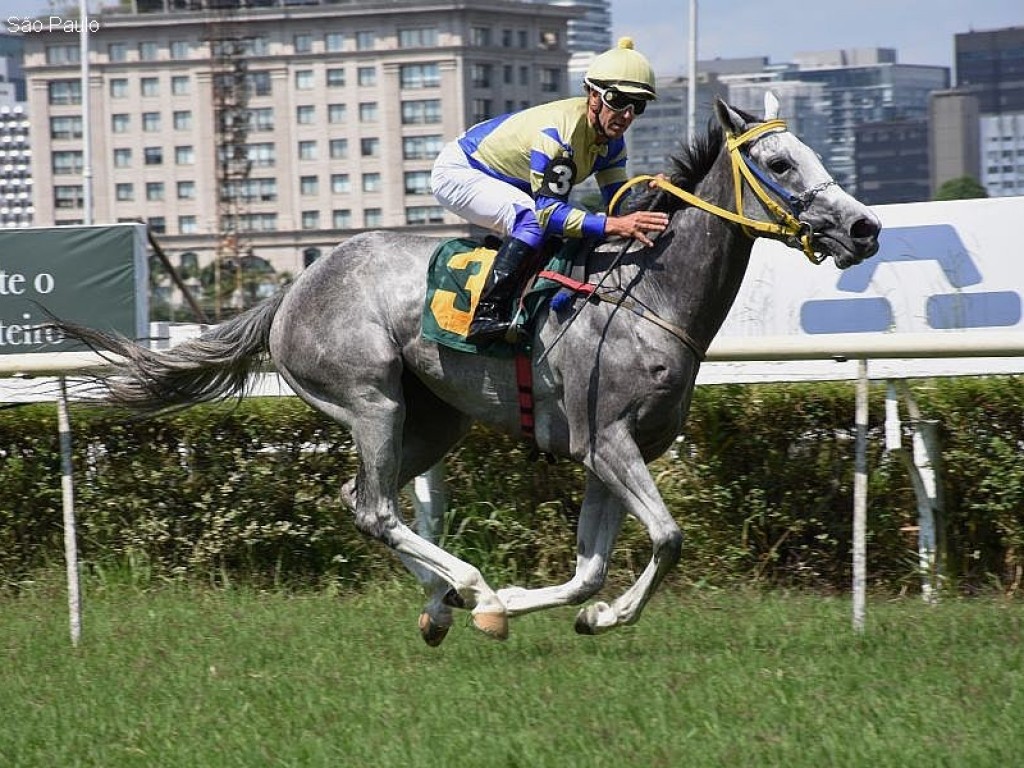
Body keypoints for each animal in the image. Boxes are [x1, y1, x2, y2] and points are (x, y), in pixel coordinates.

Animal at [58, 96, 880, 643]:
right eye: (779, 162)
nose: (865, 228)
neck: (644, 294)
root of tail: (292, 289)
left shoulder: (619, 451)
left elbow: (590, 568)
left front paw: (568, 610)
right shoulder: (606, 440)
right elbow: (671, 538)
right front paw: (559, 607)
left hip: (434, 421)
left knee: (361, 498)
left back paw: (443, 603)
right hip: (372, 401)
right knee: (376, 507)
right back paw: (467, 585)